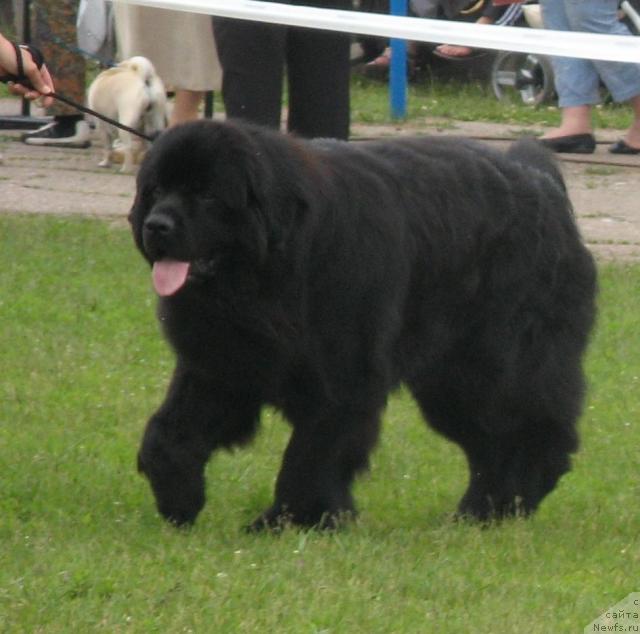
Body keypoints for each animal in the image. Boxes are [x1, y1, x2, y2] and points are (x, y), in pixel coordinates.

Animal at [129, 119, 596, 528]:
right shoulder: (221, 364)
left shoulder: (343, 376)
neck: (272, 270)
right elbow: (167, 433)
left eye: (207, 195)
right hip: (450, 383)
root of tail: (541, 181)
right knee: (491, 444)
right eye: (157, 189)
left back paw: (499, 506)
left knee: (529, 432)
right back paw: (481, 514)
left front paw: (291, 521)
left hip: (496, 367)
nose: (156, 225)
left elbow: (310, 456)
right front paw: (179, 498)